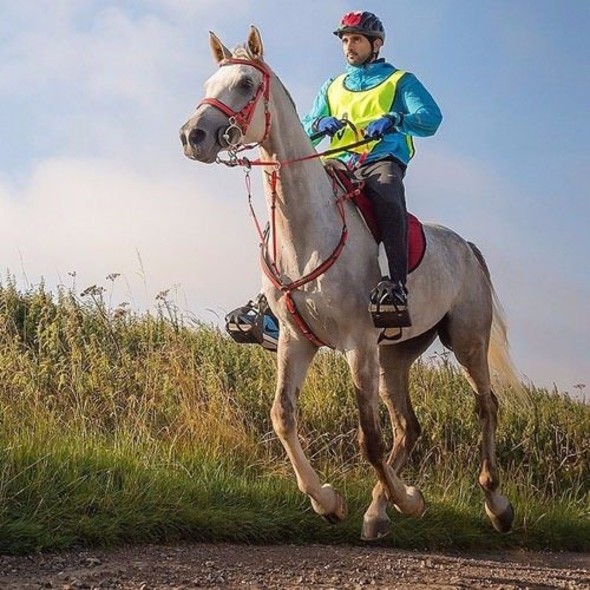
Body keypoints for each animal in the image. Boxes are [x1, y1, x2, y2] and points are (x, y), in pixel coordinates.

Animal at [180, 26, 524, 540]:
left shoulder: (358, 345)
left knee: (486, 406)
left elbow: (369, 439)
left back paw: (495, 504)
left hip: (465, 338)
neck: (307, 231)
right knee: (408, 426)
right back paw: (379, 512)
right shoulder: (297, 341)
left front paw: (408, 500)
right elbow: (283, 417)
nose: (192, 135)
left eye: (244, 83)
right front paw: (330, 501)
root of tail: (464, 245)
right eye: (208, 83)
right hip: (396, 356)